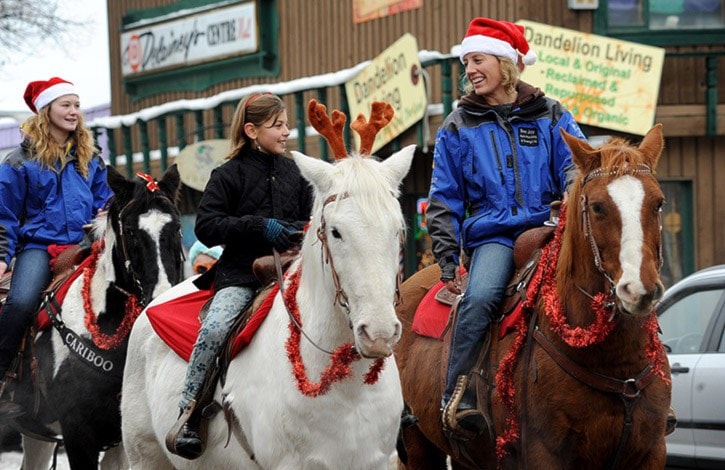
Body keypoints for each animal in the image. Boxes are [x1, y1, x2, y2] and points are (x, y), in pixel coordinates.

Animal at [122, 140, 416, 470]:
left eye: (397, 230)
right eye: (336, 232)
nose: (378, 334)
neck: (347, 389)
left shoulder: (378, 461)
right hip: (145, 456)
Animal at [396, 123, 672, 468]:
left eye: (658, 203)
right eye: (597, 207)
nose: (639, 289)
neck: (613, 363)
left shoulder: (651, 451)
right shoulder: (543, 453)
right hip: (417, 445)